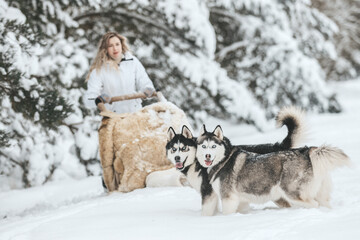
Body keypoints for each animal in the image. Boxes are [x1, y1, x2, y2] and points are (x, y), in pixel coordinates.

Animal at [195, 124, 350, 215]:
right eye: (203, 146)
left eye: (213, 146)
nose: (208, 155)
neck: (224, 159)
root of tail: (306, 152)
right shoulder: (241, 200)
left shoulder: (228, 198)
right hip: (319, 194)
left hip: (292, 194)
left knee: (314, 205)